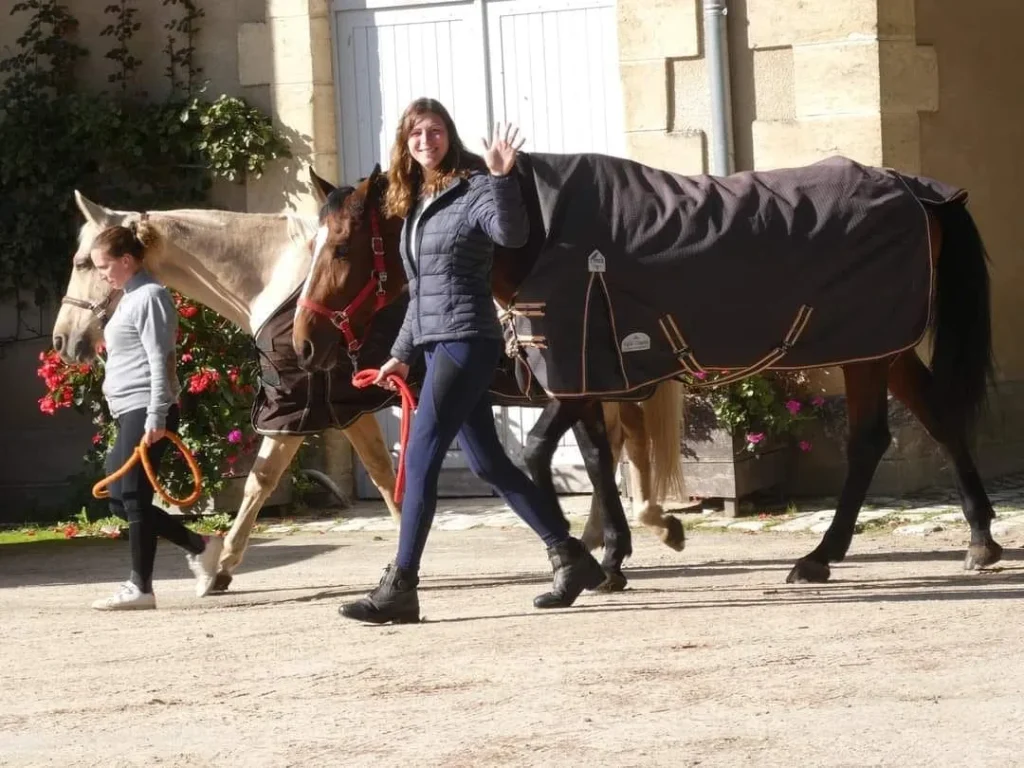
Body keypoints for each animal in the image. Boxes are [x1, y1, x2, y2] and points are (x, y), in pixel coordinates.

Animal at [49, 189, 688, 593]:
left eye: (84, 260)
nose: (63, 341)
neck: (281, 281)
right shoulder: (349, 408)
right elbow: (385, 479)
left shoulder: (304, 407)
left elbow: (261, 483)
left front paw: (216, 567)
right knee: (611, 449)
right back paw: (616, 547)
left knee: (616, 450)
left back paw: (630, 539)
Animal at [294, 157, 999, 589]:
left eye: (340, 248)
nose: (302, 341)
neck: (535, 235)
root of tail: (916, 190)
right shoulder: (589, 379)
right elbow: (599, 459)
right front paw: (613, 557)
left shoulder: (582, 373)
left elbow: (547, 453)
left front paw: (586, 558)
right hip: (883, 348)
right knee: (932, 419)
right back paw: (978, 539)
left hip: (868, 351)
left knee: (873, 439)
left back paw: (822, 556)